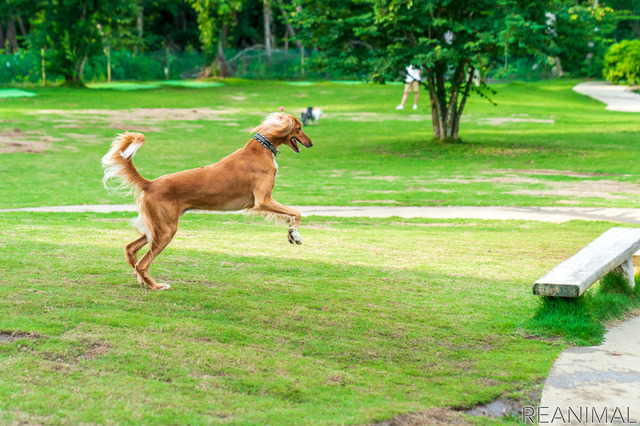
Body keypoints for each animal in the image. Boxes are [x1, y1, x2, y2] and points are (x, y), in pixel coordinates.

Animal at [101, 111, 314, 292]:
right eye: (299, 127)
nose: (311, 143)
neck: (261, 149)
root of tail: (150, 183)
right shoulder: (262, 200)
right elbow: (296, 213)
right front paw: (295, 235)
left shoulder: (264, 202)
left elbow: (290, 215)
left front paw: (291, 233)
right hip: (166, 230)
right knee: (142, 263)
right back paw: (156, 286)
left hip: (156, 227)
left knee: (130, 249)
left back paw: (144, 281)